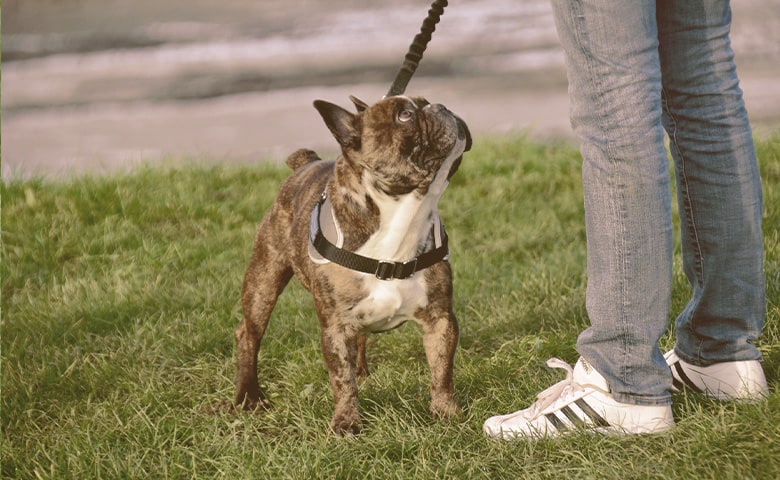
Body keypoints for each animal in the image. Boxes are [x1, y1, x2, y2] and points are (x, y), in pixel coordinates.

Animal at [232, 94, 472, 436]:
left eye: (424, 102)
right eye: (404, 115)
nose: (440, 106)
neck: (405, 215)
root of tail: (306, 162)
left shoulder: (439, 318)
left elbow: (442, 369)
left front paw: (445, 411)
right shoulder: (335, 327)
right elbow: (341, 380)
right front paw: (346, 423)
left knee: (360, 339)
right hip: (264, 279)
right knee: (249, 334)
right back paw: (248, 395)